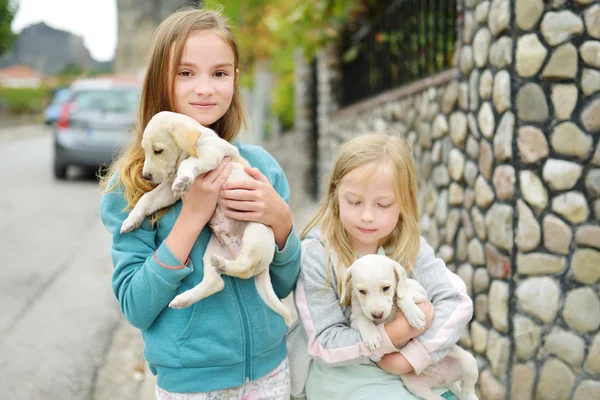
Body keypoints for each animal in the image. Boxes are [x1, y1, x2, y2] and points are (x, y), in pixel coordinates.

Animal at [120, 110, 292, 324]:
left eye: (158, 151)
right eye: (145, 151)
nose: (146, 177)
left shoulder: (211, 153)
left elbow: (188, 164)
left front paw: (183, 177)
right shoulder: (168, 191)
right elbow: (147, 198)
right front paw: (131, 220)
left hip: (255, 232)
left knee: (246, 267)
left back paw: (223, 265)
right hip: (212, 251)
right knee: (216, 283)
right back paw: (185, 298)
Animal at [342, 255, 478, 400]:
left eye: (386, 288)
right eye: (362, 291)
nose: (377, 315)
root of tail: (443, 380)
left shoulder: (420, 293)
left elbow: (403, 297)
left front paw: (414, 315)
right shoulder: (354, 319)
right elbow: (363, 319)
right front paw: (372, 337)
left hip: (469, 363)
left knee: (468, 390)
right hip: (416, 386)